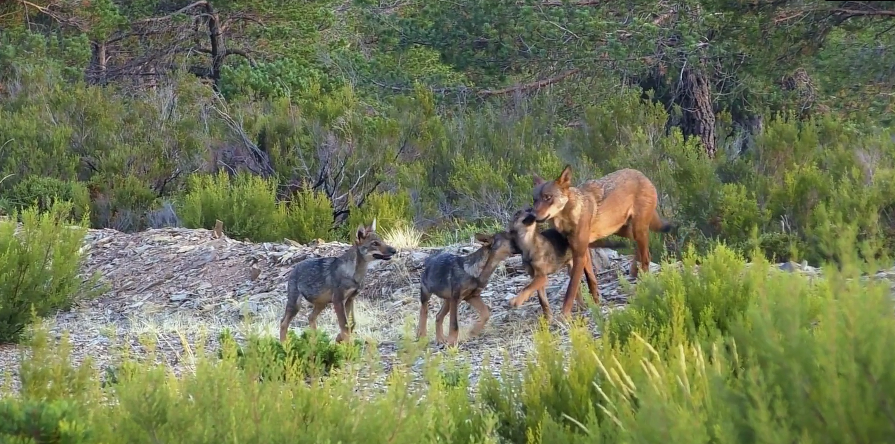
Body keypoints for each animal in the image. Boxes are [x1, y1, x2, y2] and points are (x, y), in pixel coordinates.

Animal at [532, 165, 672, 318]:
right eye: (534, 200)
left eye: (548, 197)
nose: (532, 216)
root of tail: (642, 175)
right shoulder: (585, 252)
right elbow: (591, 280)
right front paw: (595, 303)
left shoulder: (579, 254)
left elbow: (571, 289)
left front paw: (565, 314)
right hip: (623, 230)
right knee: (642, 250)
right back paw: (634, 270)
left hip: (636, 229)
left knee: (646, 256)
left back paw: (644, 282)